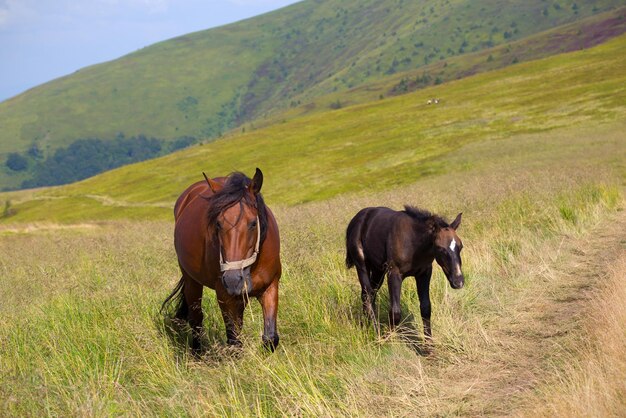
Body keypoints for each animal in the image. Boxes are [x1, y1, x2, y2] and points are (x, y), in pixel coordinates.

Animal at [161, 168, 280, 352]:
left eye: (253, 223)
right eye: (218, 224)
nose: (232, 280)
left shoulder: (271, 287)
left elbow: (270, 339)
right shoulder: (225, 296)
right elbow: (234, 342)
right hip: (191, 280)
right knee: (196, 318)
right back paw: (197, 353)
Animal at [344, 206, 460, 340]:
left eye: (461, 246)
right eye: (441, 249)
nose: (459, 281)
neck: (413, 241)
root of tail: (355, 220)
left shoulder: (424, 273)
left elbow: (426, 308)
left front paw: (429, 344)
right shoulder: (394, 274)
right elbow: (395, 312)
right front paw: (388, 338)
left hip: (378, 271)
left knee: (369, 295)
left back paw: (365, 325)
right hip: (362, 266)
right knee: (367, 295)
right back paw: (376, 331)